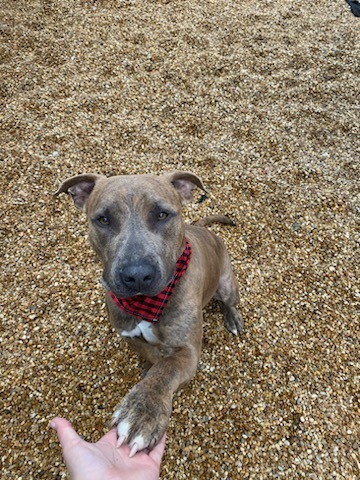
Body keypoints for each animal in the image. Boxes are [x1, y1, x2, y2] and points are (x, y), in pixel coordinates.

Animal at [54, 171, 245, 456]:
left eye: (162, 215)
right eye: (103, 219)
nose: (137, 274)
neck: (146, 303)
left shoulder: (187, 351)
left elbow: (166, 369)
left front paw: (143, 409)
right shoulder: (129, 336)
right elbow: (152, 356)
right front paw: (148, 369)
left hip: (226, 284)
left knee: (228, 300)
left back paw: (231, 317)